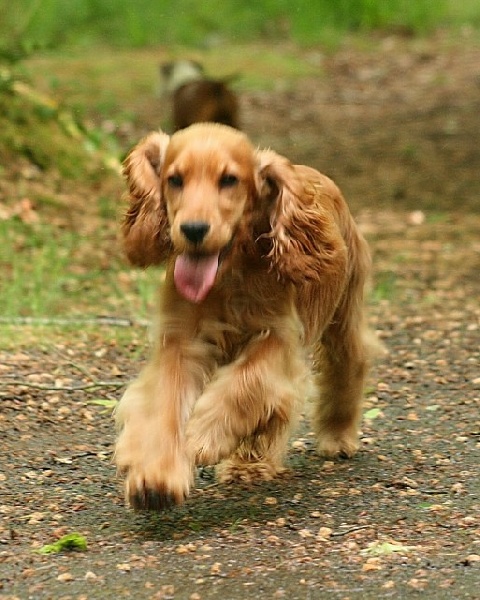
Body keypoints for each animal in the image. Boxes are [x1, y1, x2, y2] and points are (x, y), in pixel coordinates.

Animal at [115, 123, 376, 511]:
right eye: (174, 179)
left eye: (229, 180)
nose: (193, 229)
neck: (230, 272)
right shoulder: (181, 340)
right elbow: (165, 401)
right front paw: (157, 474)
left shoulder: (278, 337)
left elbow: (248, 383)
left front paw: (202, 435)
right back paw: (246, 466)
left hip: (344, 310)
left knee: (348, 362)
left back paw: (336, 435)